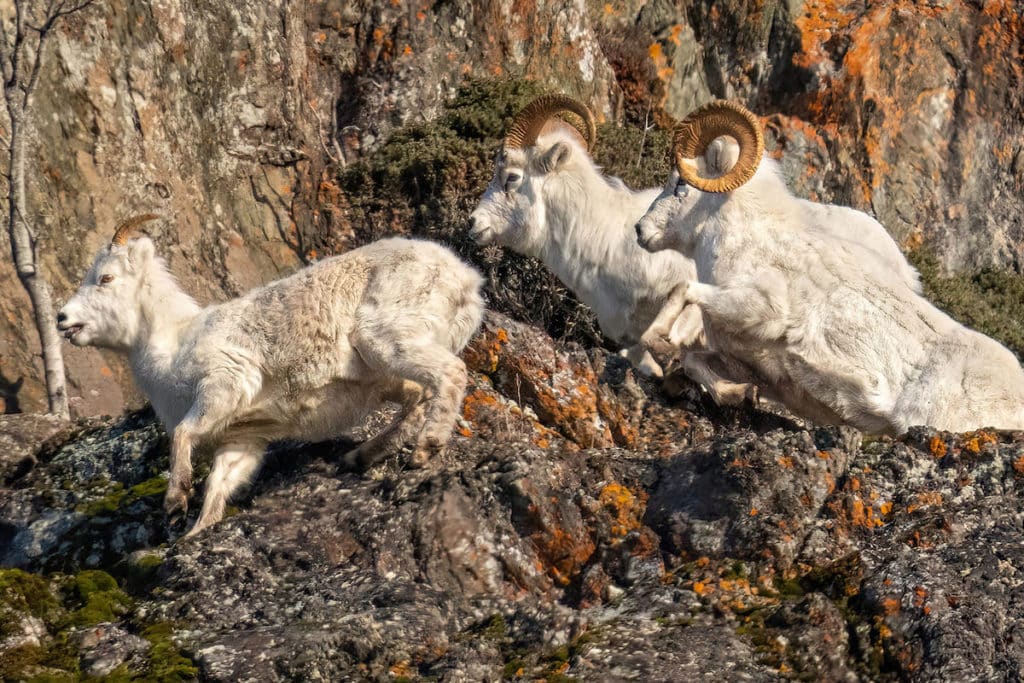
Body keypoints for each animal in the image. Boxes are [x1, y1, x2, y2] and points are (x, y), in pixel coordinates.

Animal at [58, 218, 483, 532]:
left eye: (106, 278)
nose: (63, 319)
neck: (175, 343)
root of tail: (465, 280)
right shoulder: (243, 439)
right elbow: (218, 486)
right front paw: (197, 532)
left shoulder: (223, 386)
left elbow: (183, 435)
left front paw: (175, 503)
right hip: (384, 376)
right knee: (417, 397)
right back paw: (358, 457)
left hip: (387, 340)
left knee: (450, 373)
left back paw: (425, 450)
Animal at [634, 101, 1024, 432]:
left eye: (681, 184)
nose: (640, 230)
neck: (747, 240)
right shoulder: (749, 362)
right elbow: (694, 362)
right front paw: (740, 395)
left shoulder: (759, 308)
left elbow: (683, 292)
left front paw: (661, 346)